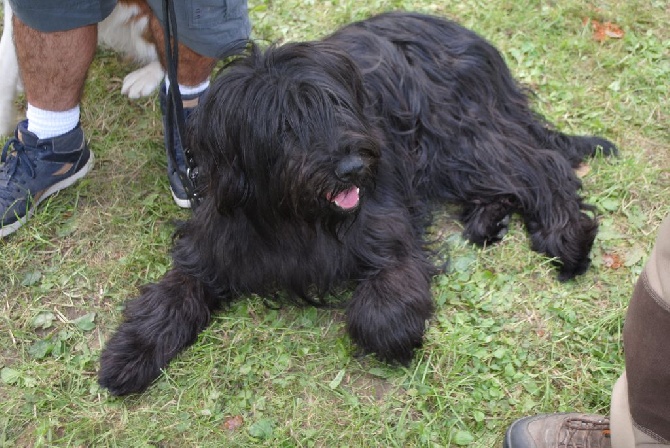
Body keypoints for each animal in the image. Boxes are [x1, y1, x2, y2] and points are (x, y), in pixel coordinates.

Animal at [97, 12, 616, 394]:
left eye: (338, 106)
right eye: (285, 125)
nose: (349, 167)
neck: (295, 213)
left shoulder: (387, 224)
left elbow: (384, 303)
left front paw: (395, 334)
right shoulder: (214, 240)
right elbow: (174, 291)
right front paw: (129, 353)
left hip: (460, 139)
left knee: (543, 164)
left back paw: (568, 238)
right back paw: (488, 219)